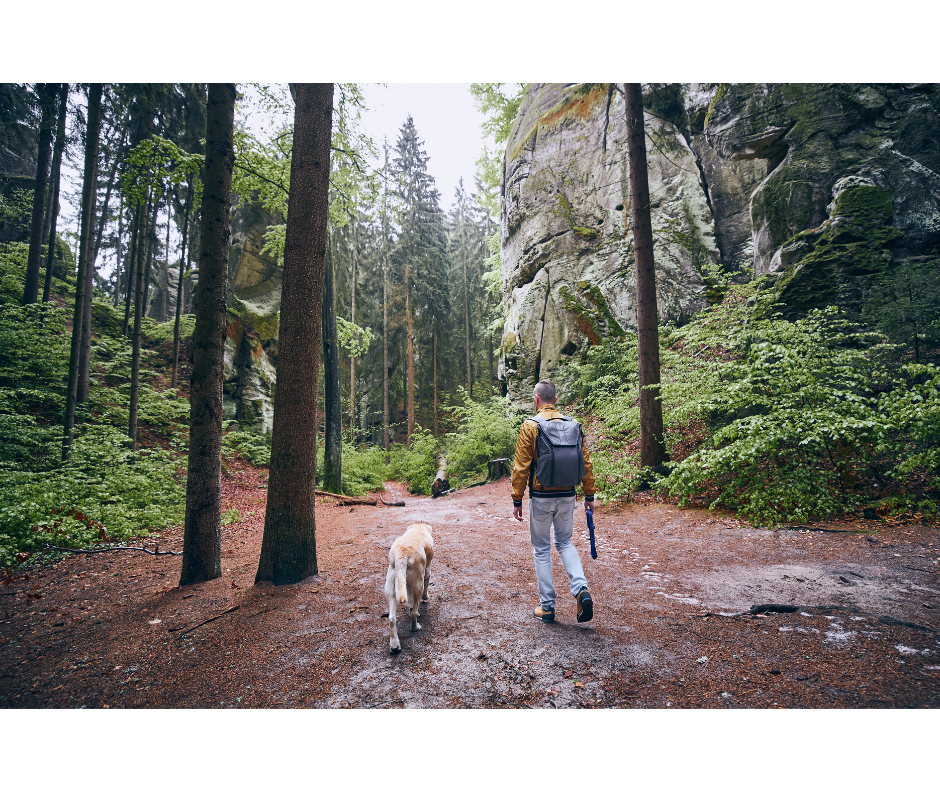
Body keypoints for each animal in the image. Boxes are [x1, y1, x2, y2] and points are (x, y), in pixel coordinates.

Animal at [384, 524, 436, 652]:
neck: (418, 529)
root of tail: (401, 555)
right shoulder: (427, 571)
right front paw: (426, 598)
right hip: (418, 584)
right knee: (414, 613)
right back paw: (415, 627)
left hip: (392, 588)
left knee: (391, 618)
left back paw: (394, 646)